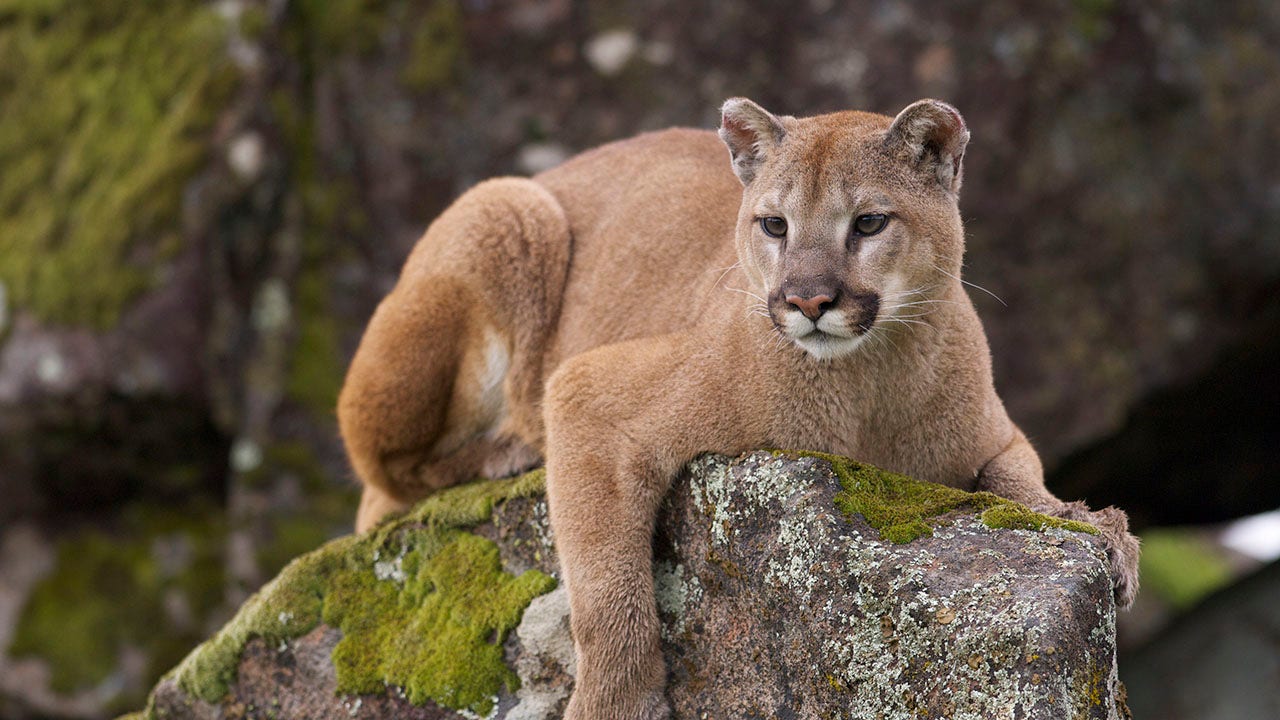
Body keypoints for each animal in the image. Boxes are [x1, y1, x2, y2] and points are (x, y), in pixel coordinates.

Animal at [337, 96, 1141, 717]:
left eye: (869, 223)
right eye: (774, 225)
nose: (808, 300)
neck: (865, 386)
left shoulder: (995, 435)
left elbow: (1020, 481)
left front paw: (1094, 527)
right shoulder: (588, 392)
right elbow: (606, 590)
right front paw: (617, 703)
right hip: (507, 209)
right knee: (383, 476)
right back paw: (507, 450)